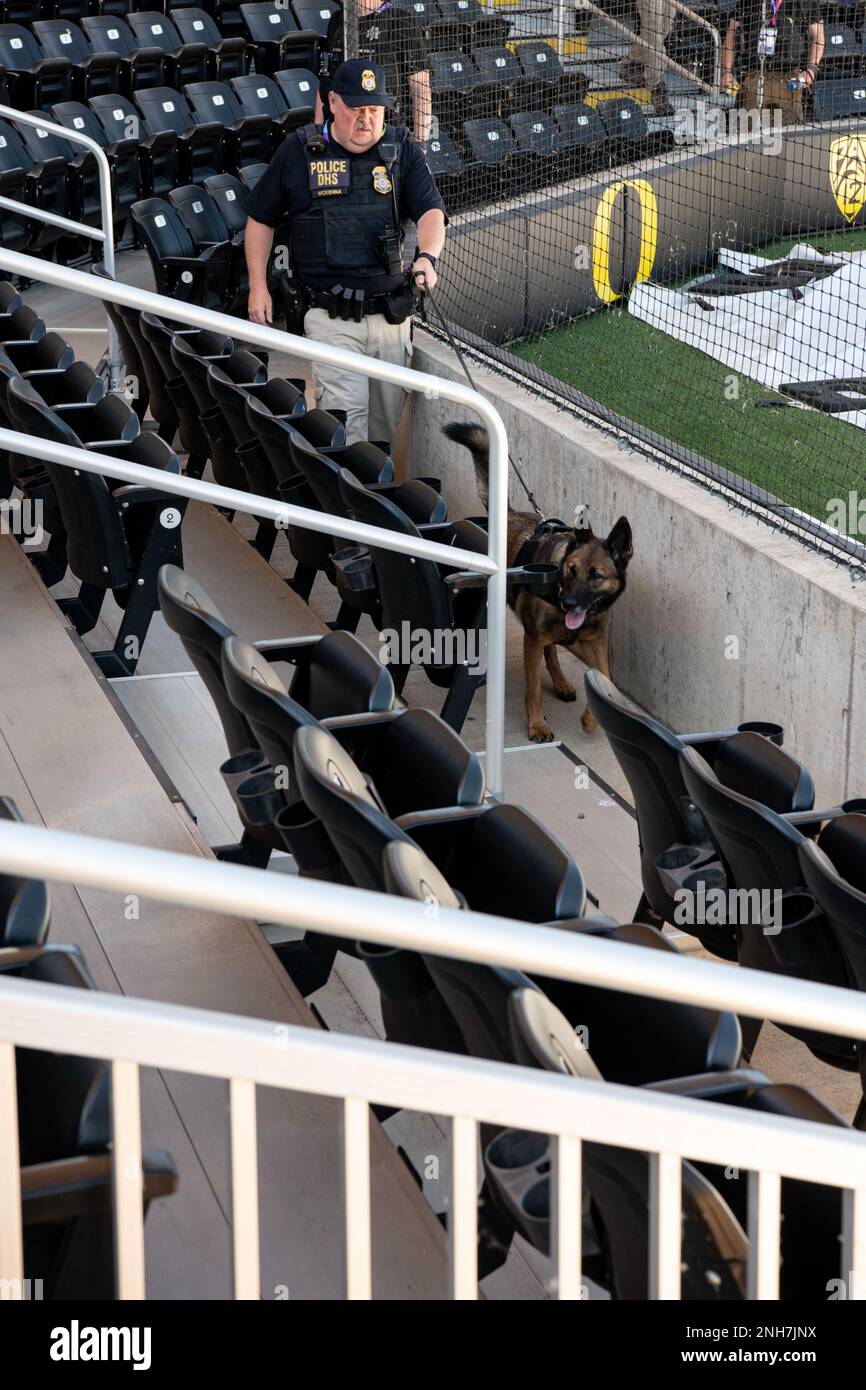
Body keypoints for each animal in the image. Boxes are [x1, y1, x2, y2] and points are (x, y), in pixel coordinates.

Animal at [444, 422, 633, 745]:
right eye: (571, 570)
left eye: (596, 575)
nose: (569, 603)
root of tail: (508, 514)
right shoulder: (531, 639)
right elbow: (533, 689)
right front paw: (537, 725)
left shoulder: (595, 641)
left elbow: (605, 675)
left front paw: (591, 718)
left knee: (553, 651)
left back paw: (561, 682)